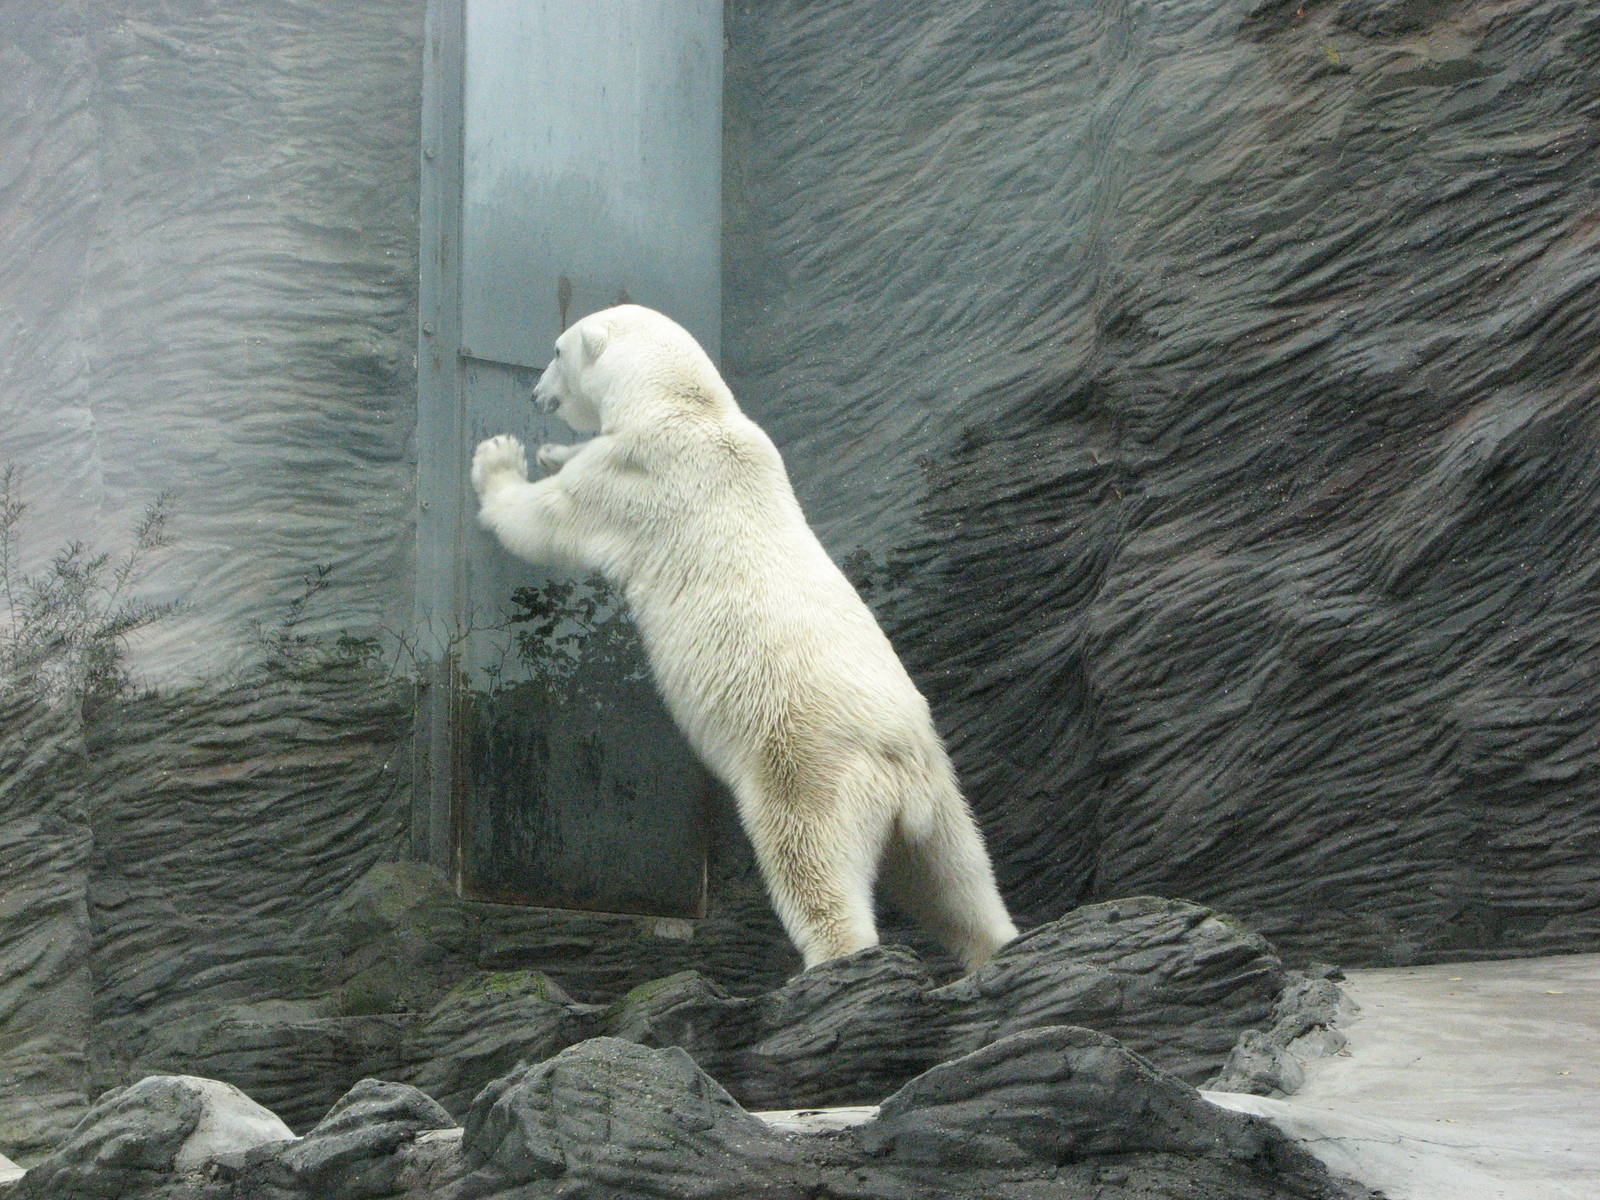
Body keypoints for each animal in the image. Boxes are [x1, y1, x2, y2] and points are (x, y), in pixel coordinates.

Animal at [470, 304, 1018, 970]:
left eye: (555, 350)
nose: (535, 393)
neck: (688, 408)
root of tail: (897, 771)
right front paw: (550, 450)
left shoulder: (635, 480)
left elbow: (545, 521)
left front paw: (500, 458)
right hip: (940, 793)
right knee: (956, 878)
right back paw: (998, 944)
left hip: (807, 773)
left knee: (812, 867)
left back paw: (836, 960)